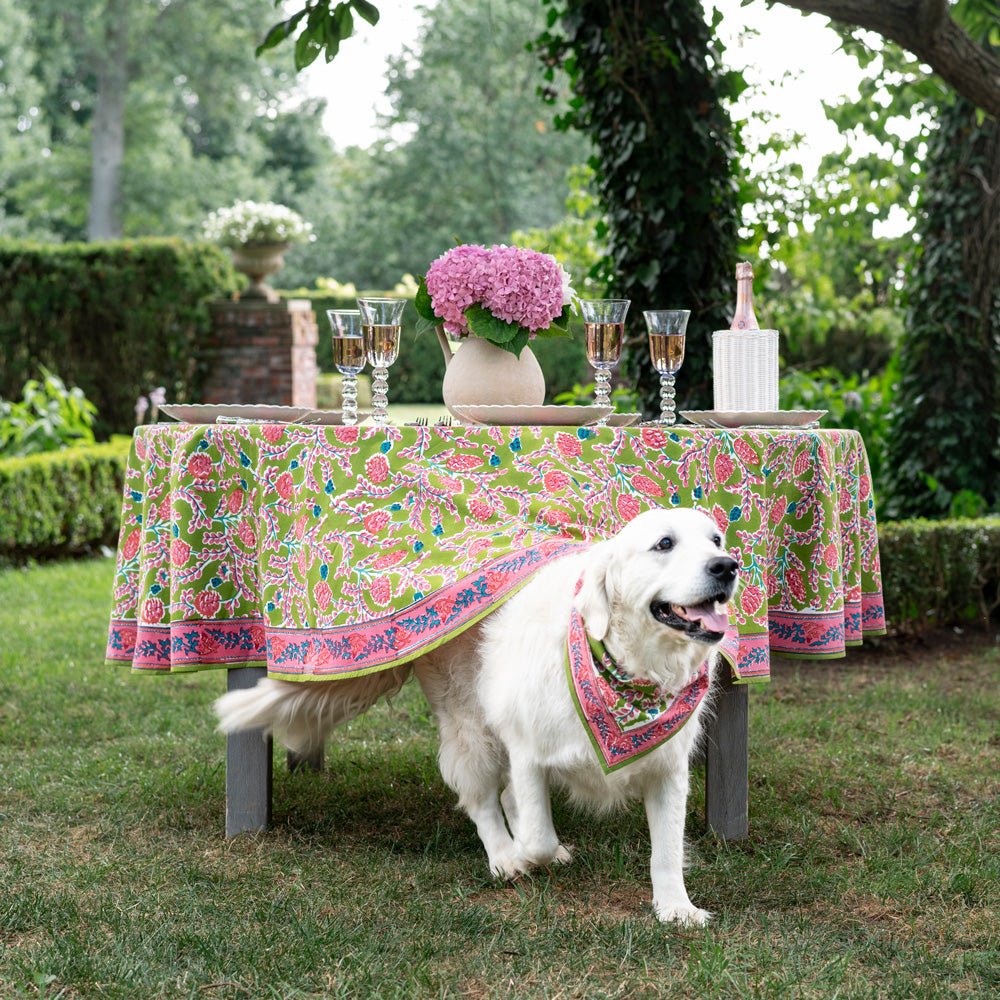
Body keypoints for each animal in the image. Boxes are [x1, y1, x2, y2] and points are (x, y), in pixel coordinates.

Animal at [215, 512, 740, 924]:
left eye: (716, 539)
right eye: (664, 543)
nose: (727, 566)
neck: (625, 667)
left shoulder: (668, 771)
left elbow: (666, 851)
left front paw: (675, 908)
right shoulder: (529, 751)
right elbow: (536, 837)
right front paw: (522, 855)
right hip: (472, 728)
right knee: (484, 799)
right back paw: (504, 857)